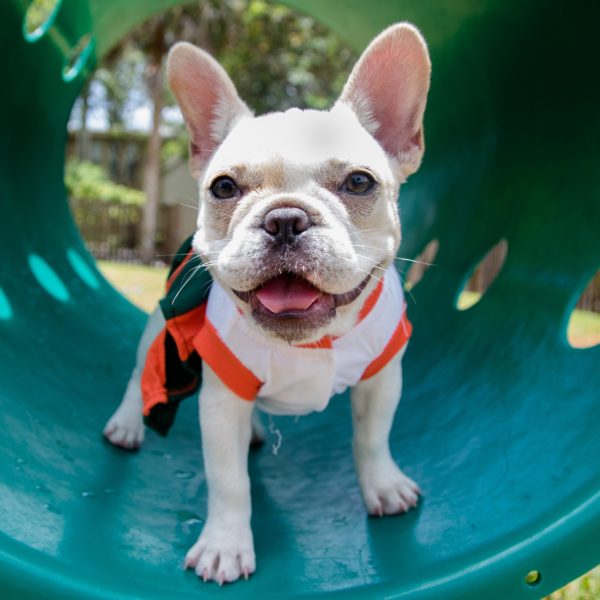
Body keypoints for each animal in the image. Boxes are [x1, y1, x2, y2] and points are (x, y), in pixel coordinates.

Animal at [104, 24, 432, 584]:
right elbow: (229, 481)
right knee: (137, 373)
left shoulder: (381, 378)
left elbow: (372, 437)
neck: (311, 343)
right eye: (223, 187)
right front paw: (224, 546)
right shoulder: (221, 402)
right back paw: (127, 424)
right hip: (158, 328)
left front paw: (383, 487)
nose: (284, 219)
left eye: (359, 181)